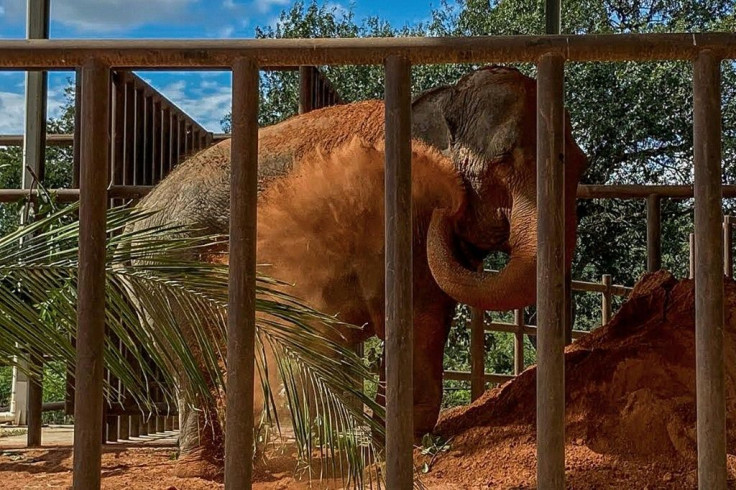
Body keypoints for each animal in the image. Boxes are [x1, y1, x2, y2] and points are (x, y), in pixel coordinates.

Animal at [132, 65, 588, 468]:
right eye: (505, 161)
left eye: (581, 164)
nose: (449, 201)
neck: (441, 102)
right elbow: (416, 317)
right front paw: (403, 446)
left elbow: (432, 311)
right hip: (167, 268)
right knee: (193, 357)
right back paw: (204, 468)